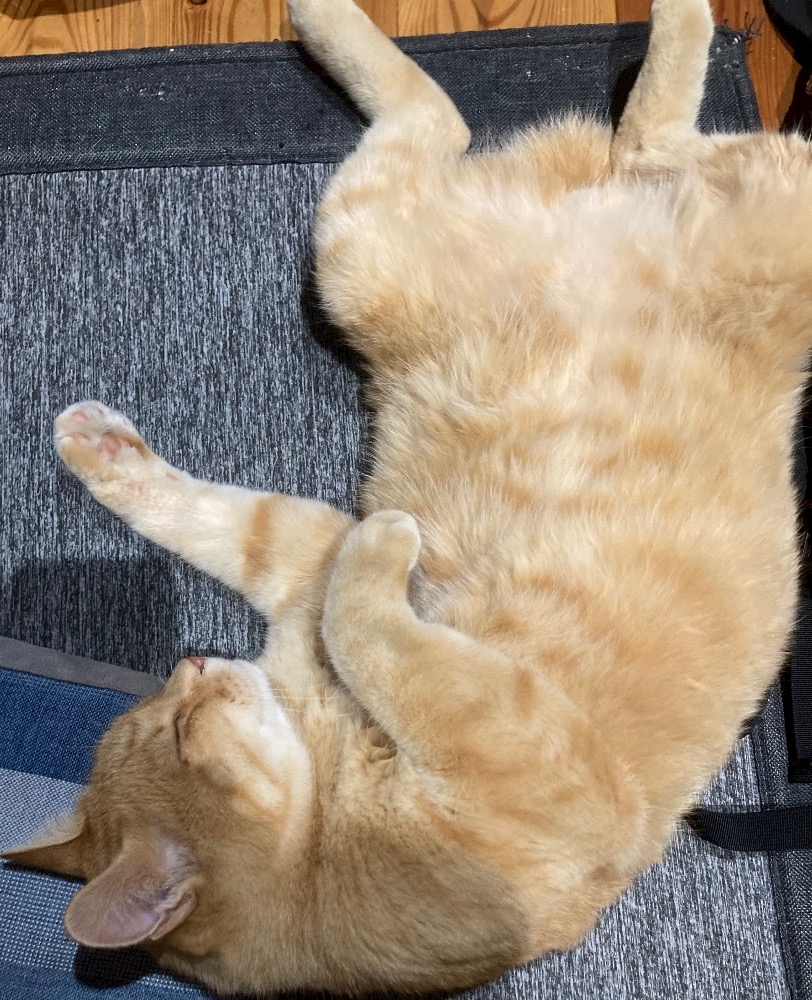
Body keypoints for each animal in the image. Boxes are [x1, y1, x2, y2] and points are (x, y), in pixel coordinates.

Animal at [5, 0, 812, 993]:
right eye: (179, 724)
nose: (192, 664)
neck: (328, 819)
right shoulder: (478, 706)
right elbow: (364, 617)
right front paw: (392, 542)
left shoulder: (310, 563)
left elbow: (215, 519)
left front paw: (100, 451)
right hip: (365, 249)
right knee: (500, 125)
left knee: (614, 138)